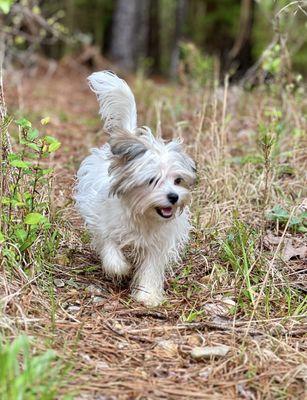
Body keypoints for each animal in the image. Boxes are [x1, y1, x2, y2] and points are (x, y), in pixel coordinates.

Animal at [75, 71, 196, 306]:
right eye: (152, 180)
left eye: (177, 180)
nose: (174, 196)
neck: (143, 214)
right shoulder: (104, 223)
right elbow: (110, 248)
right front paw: (120, 268)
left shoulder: (158, 244)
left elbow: (150, 268)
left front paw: (147, 296)